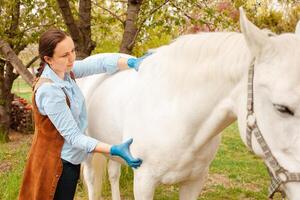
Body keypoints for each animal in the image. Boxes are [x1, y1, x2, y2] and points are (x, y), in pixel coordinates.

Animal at [78, 9, 300, 200]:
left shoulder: (195, 181)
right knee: (91, 180)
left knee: (113, 173)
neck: (177, 114)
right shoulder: (143, 181)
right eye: (282, 108)